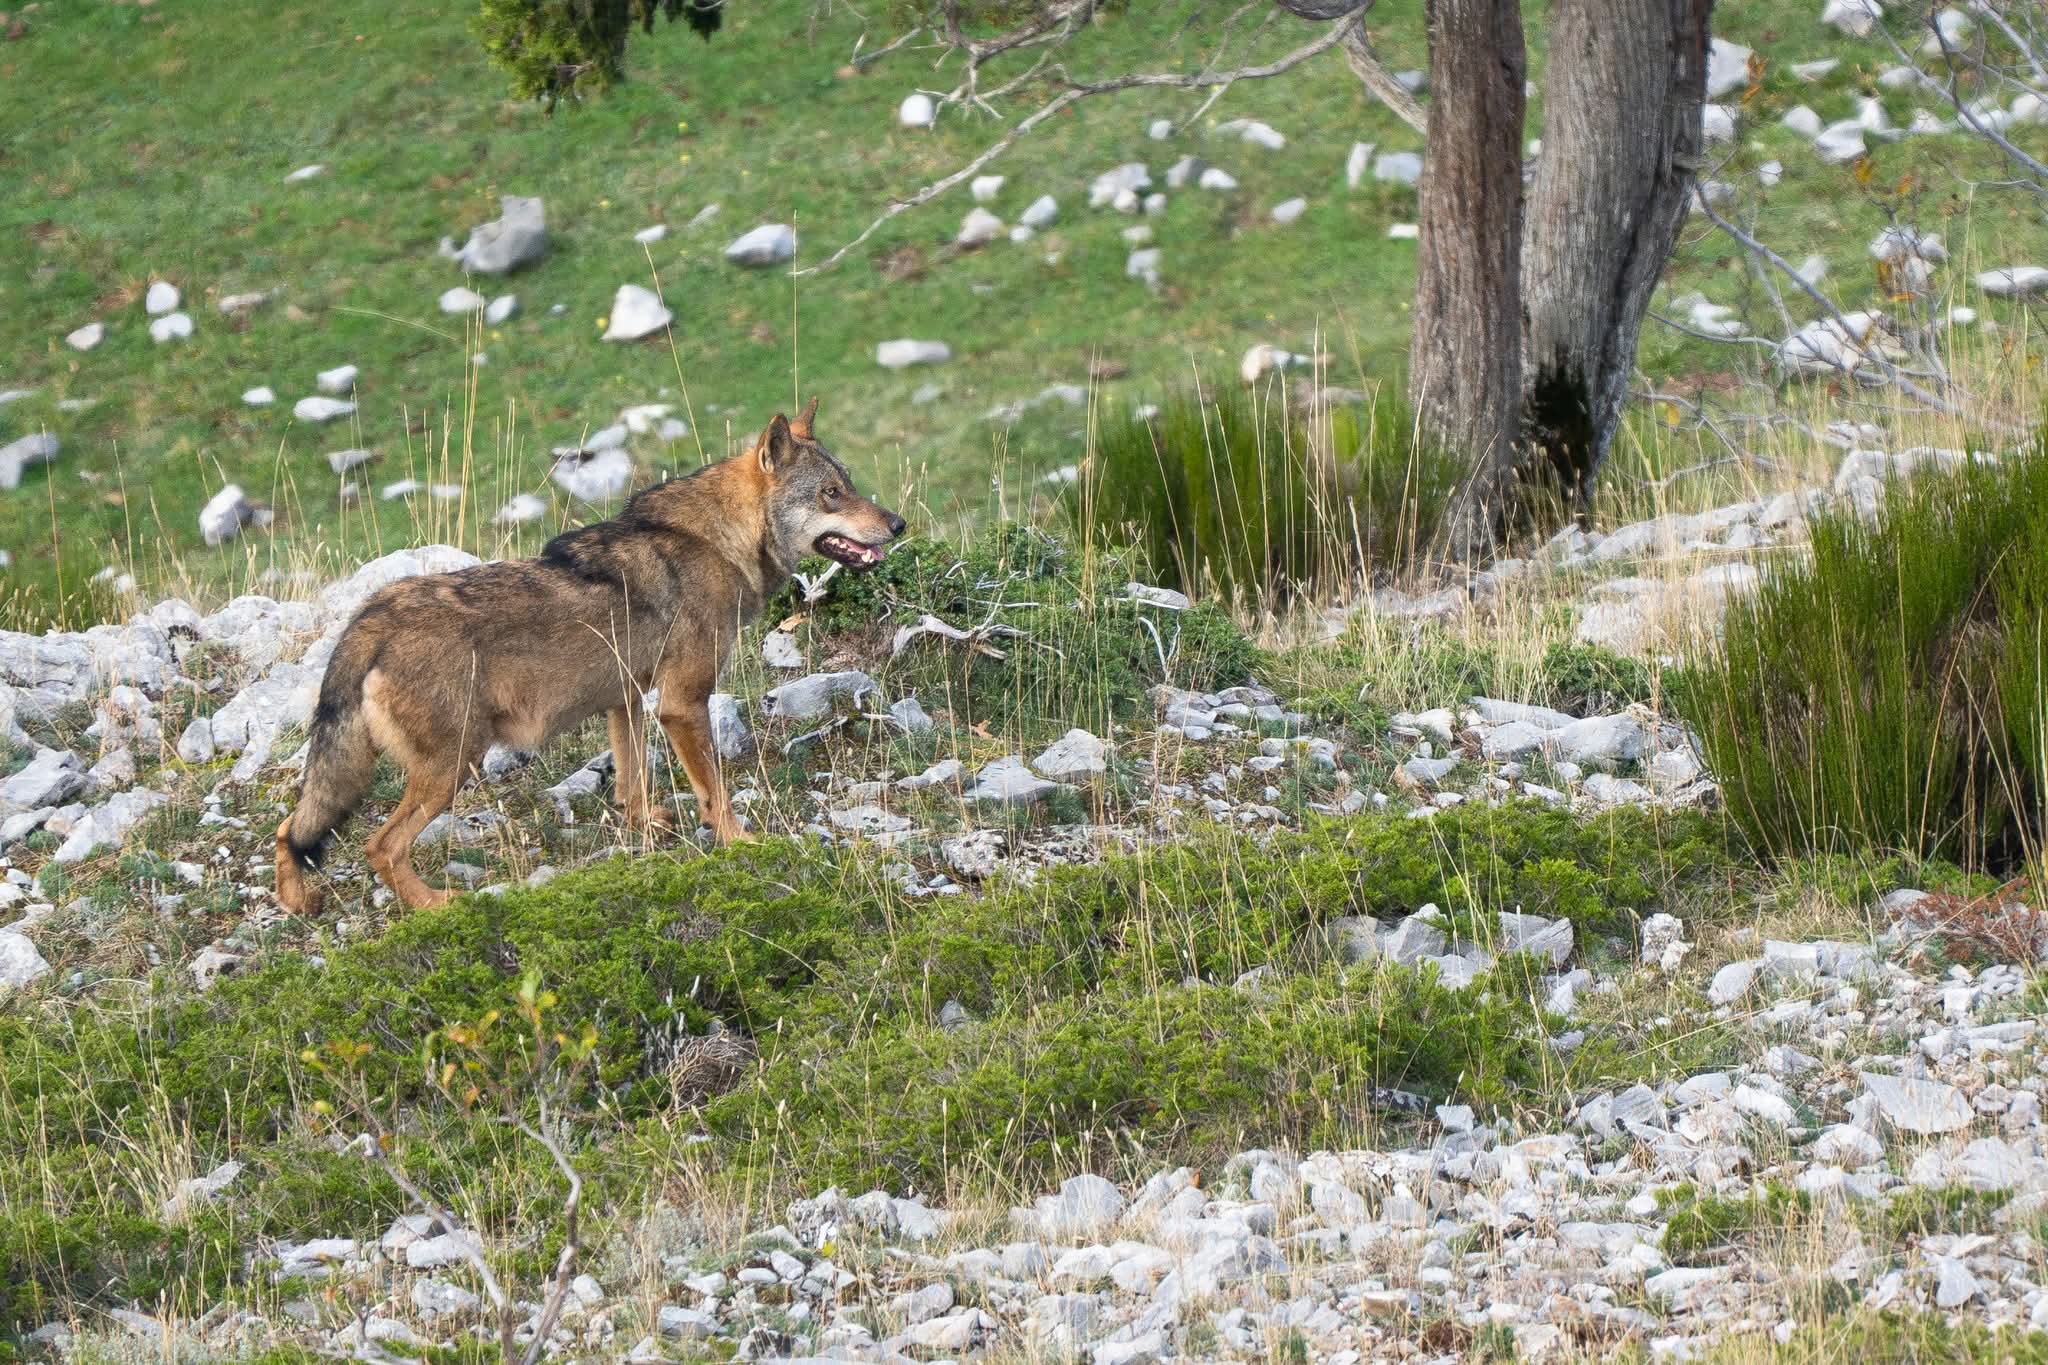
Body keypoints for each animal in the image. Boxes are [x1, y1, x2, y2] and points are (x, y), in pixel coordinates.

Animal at [274, 399, 903, 911]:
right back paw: (435, 905)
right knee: (380, 846)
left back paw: (297, 902)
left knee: (289, 830)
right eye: (831, 493)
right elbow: (716, 795)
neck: (718, 542)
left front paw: (648, 826)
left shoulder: (626, 698)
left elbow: (632, 784)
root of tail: (370, 617)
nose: (898, 524)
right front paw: (743, 843)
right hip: (453, 768)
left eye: (849, 484)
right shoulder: (681, 703)